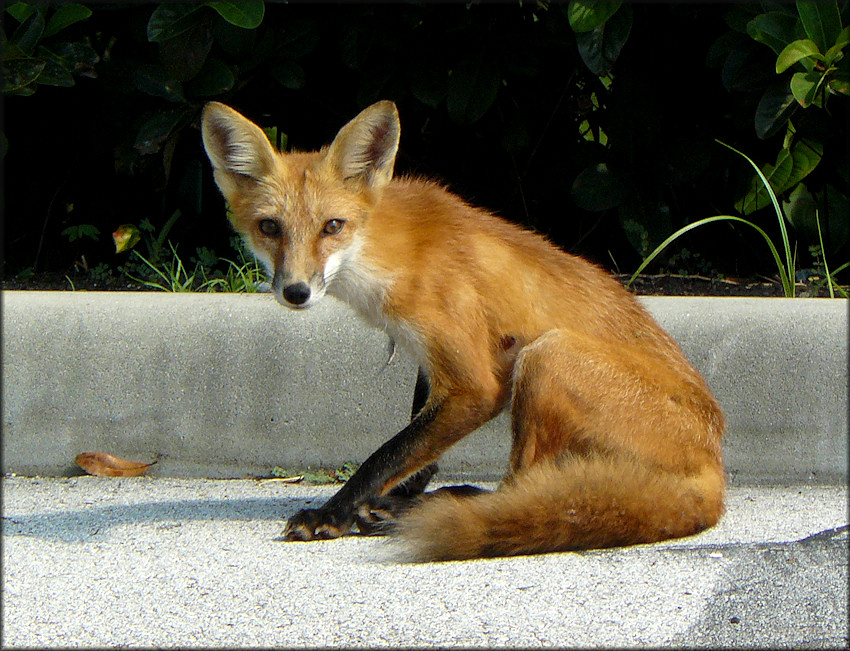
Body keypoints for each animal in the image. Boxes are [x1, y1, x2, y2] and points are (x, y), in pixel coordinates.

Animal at [200, 99, 724, 564]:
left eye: (333, 226)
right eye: (270, 227)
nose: (296, 292)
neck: (390, 257)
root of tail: (714, 472)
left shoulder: (475, 383)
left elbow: (387, 453)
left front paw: (336, 512)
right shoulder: (428, 358)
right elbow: (415, 444)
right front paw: (400, 490)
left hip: (547, 357)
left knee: (519, 489)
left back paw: (426, 508)